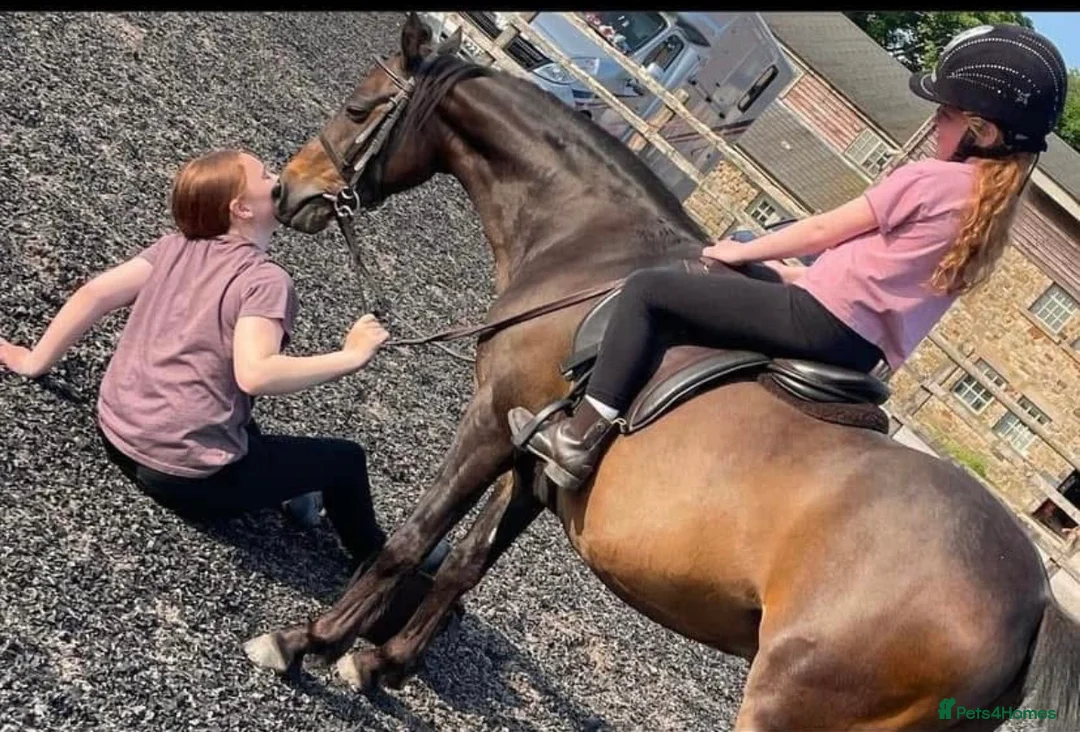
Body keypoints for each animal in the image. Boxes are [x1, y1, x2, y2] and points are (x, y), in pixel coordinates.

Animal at [243, 13, 1080, 730]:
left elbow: (411, 542)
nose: (289, 191)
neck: (587, 245)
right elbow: (465, 568)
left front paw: (305, 641)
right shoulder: (531, 455)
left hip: (793, 700)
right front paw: (381, 662)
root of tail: (1037, 609)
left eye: (358, 108)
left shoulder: (490, 420)